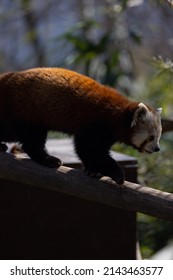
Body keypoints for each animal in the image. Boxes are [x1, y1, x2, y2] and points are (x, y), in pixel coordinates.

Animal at [0, 68, 162, 184]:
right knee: (30, 140)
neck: (119, 114)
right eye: (151, 137)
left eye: (158, 137)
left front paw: (92, 170)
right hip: (25, 110)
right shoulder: (95, 124)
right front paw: (115, 172)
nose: (157, 149)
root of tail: (6, 77)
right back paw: (48, 159)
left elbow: (89, 151)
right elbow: (87, 149)